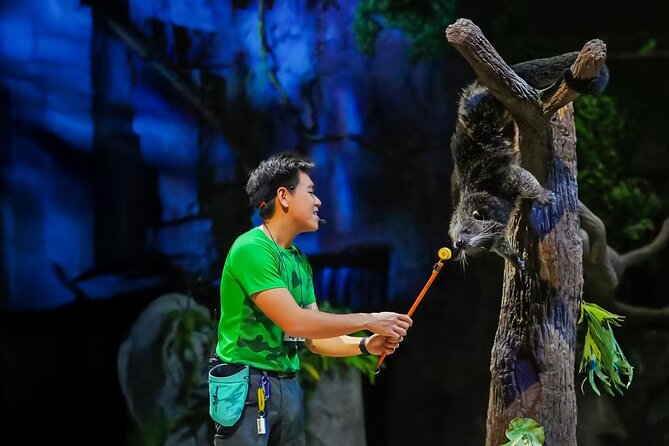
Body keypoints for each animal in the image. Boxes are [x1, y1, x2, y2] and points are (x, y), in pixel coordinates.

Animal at [449, 52, 609, 270]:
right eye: (454, 236)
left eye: (466, 231)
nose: (458, 244)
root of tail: (476, 86)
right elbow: (499, 243)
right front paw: (512, 257)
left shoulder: (500, 180)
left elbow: (522, 178)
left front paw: (542, 194)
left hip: (484, 106)